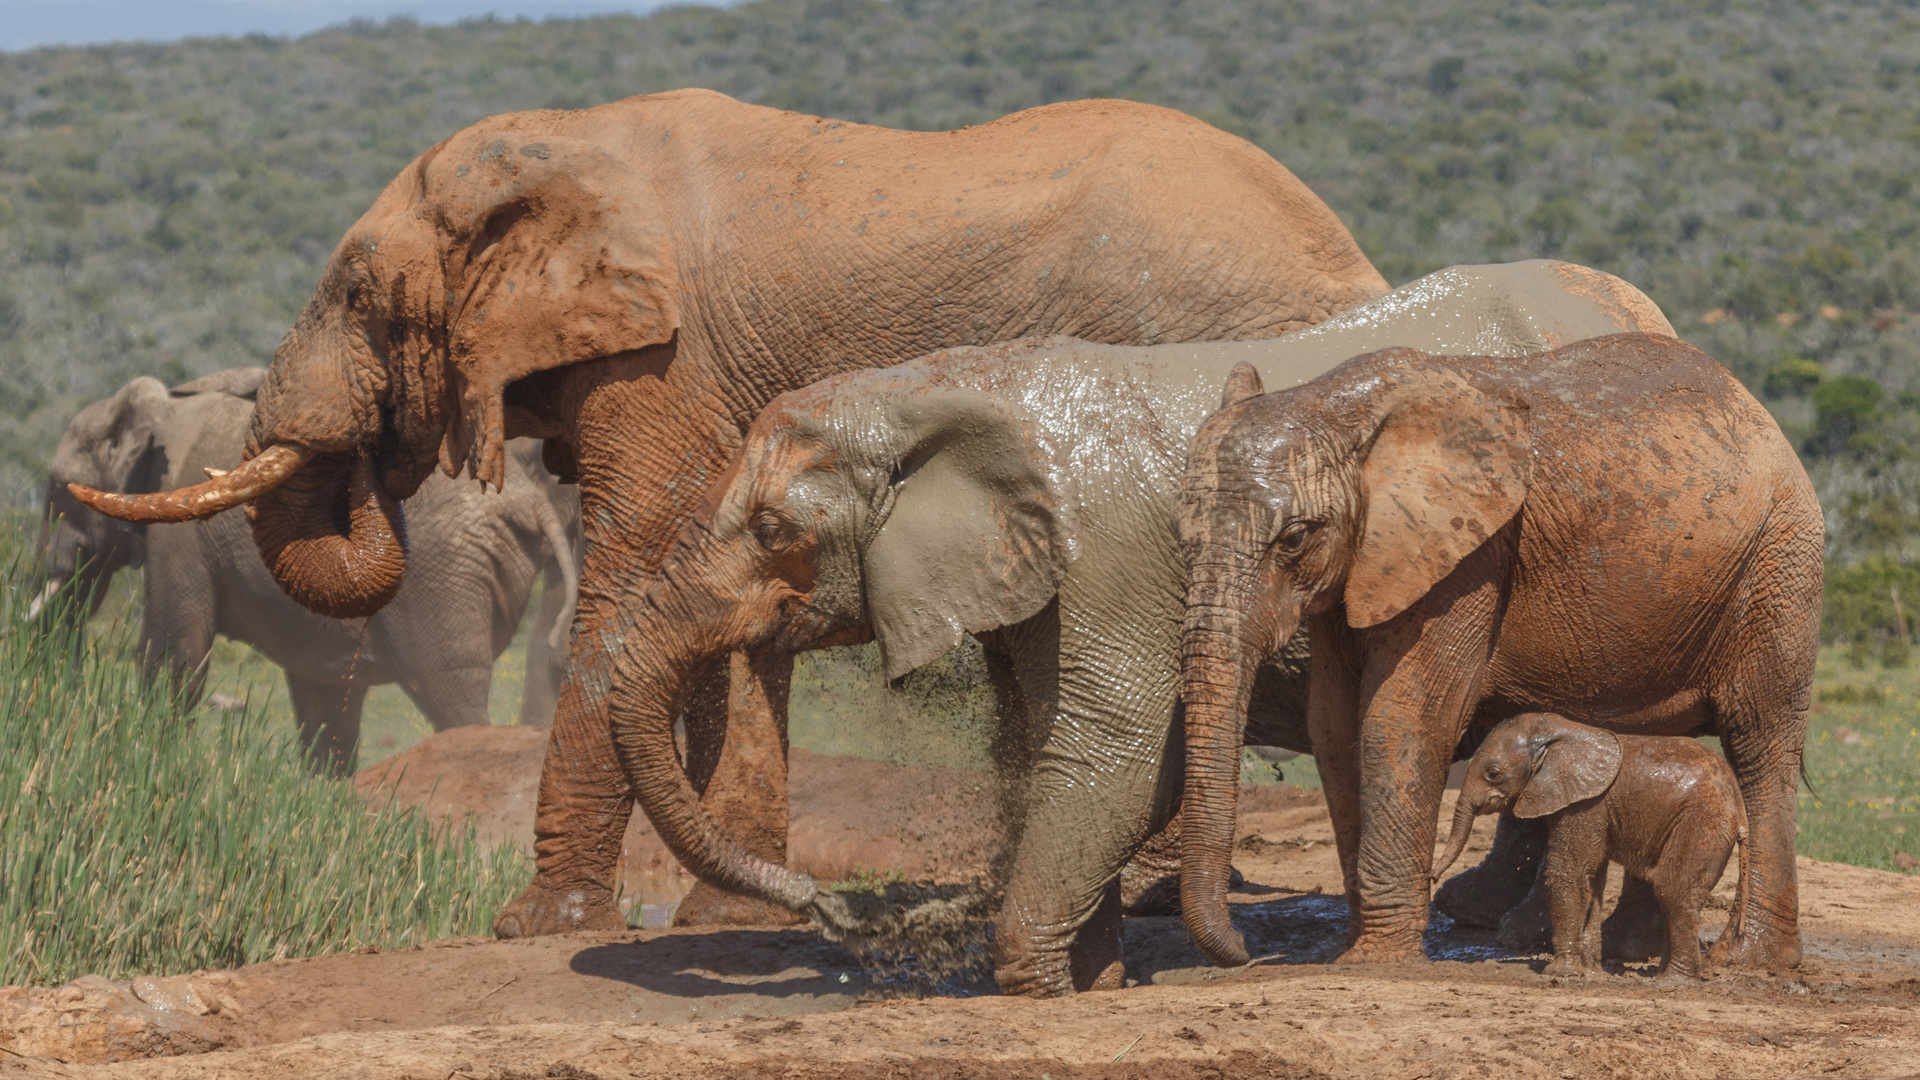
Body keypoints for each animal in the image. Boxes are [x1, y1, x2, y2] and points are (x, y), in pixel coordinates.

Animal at [37, 368, 576, 772]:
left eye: (57, 493)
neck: (165, 402)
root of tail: (529, 501)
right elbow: (324, 696)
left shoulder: (181, 531)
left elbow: (174, 652)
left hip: (441, 581)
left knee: (449, 690)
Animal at [599, 259, 1681, 991]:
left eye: (774, 530)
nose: (832, 907)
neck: (938, 385)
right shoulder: (1034, 578)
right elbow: (1045, 745)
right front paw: (1097, 982)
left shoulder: (1111, 549)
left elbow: (1116, 750)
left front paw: (1040, 989)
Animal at [1436, 714, 1751, 976]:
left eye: (1493, 773)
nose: (1433, 875)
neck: (1562, 732)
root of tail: (1738, 804)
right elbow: (1592, 879)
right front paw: (1589, 973)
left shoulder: (1586, 804)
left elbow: (1568, 873)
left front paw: (1560, 974)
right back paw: (1662, 975)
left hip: (1702, 820)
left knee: (1673, 889)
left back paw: (1672, 982)